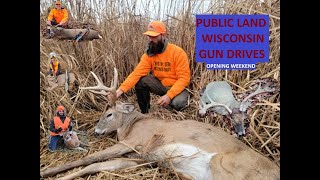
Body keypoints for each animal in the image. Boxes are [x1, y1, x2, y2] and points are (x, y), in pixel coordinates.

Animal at [40, 67, 278, 180]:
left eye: (109, 114)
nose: (96, 131)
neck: (132, 124)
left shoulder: (134, 142)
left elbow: (89, 159)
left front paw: (46, 172)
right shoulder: (140, 158)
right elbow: (96, 166)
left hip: (225, 165)